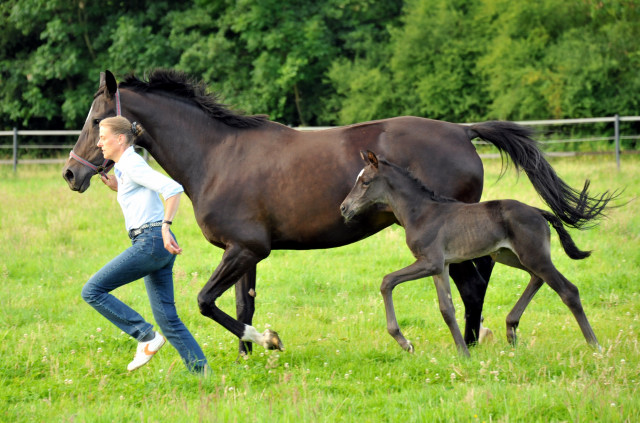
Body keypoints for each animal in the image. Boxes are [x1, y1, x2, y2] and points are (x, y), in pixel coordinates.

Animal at [340, 151, 608, 356]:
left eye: (365, 182)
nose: (344, 208)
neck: (421, 212)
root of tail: (537, 210)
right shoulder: (442, 266)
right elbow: (446, 309)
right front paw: (463, 352)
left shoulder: (430, 262)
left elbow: (387, 282)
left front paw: (405, 342)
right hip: (510, 256)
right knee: (537, 278)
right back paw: (510, 329)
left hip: (533, 256)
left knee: (568, 290)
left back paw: (595, 346)